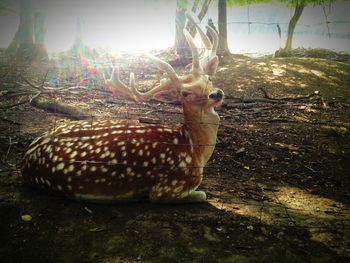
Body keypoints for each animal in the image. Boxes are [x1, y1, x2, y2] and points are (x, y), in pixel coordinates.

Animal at [21, 13, 224, 204]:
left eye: (209, 78)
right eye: (184, 93)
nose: (216, 94)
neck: (194, 151)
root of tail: (24, 160)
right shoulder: (168, 187)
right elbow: (203, 195)